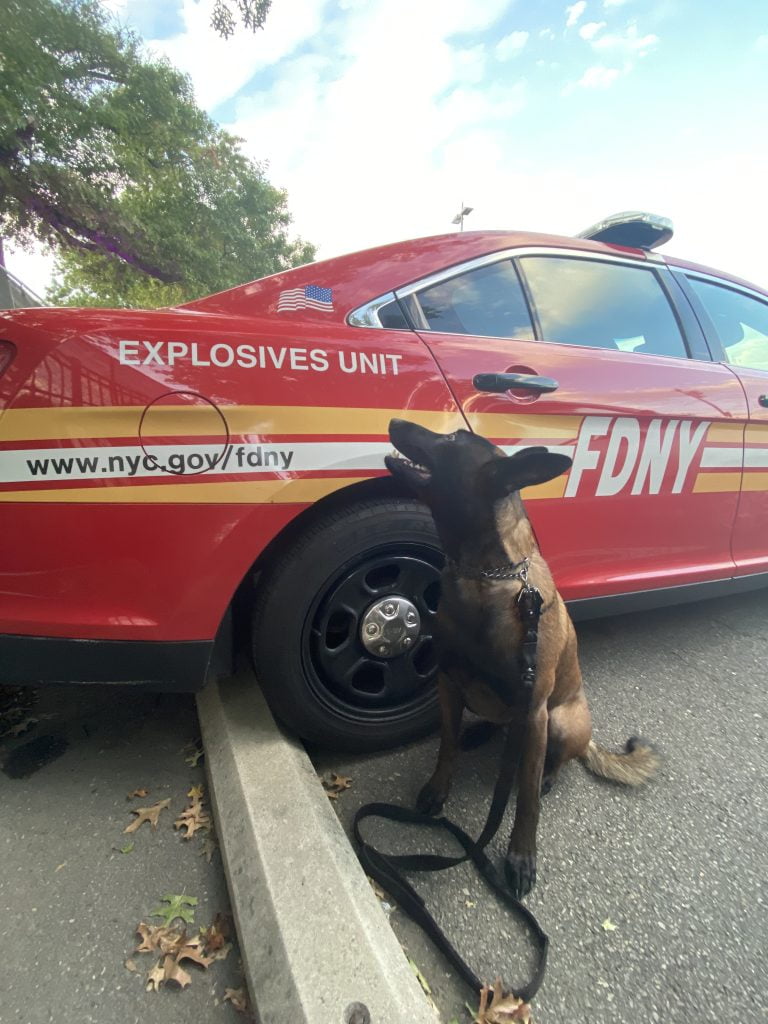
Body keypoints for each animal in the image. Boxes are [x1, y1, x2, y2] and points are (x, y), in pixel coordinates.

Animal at [387, 415, 659, 897]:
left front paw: (521, 856)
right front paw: (439, 789)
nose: (395, 419)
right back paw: (481, 733)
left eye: (453, 438)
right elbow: (446, 746)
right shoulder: (448, 684)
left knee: (554, 761)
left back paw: (548, 773)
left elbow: (527, 800)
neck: (483, 577)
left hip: (559, 721)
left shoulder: (533, 710)